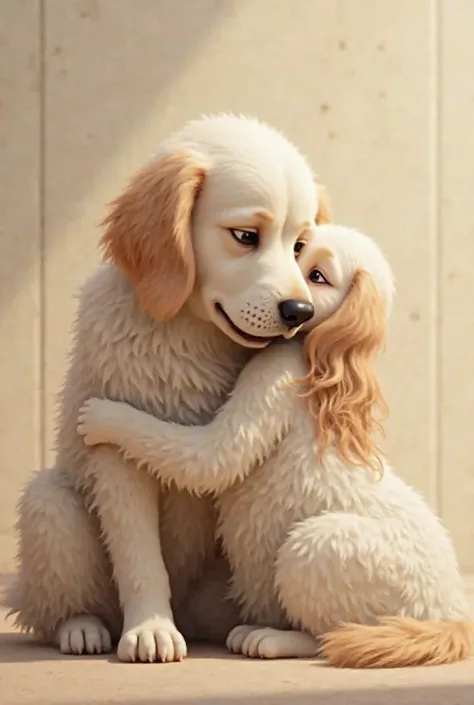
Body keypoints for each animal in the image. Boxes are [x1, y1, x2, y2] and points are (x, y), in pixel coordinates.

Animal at [4, 114, 330, 660]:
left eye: (299, 246)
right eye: (246, 236)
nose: (299, 312)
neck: (188, 332)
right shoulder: (114, 459)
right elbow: (139, 555)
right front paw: (151, 630)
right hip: (50, 509)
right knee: (56, 603)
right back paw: (82, 628)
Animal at [77, 224, 470, 664]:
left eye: (318, 276)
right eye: (298, 248)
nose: (292, 305)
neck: (318, 352)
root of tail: (452, 614)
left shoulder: (274, 372)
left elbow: (209, 457)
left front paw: (101, 417)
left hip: (316, 548)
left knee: (329, 636)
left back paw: (267, 638)